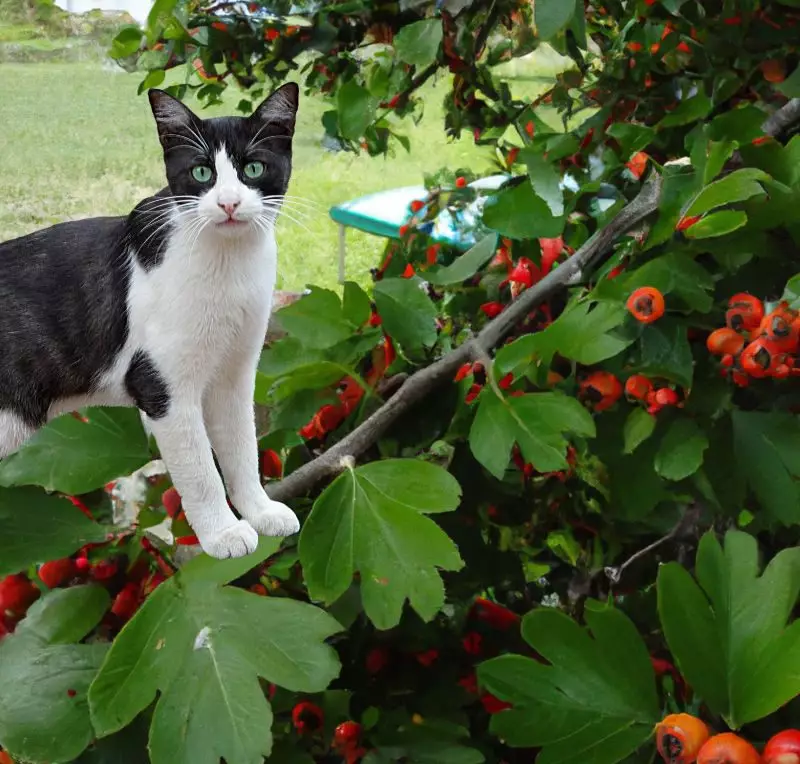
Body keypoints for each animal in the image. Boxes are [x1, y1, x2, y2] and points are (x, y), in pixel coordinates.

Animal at [0, 86, 300, 560]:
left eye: (253, 167)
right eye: (201, 172)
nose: (229, 203)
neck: (228, 266)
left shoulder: (234, 376)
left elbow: (242, 448)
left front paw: (260, 510)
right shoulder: (162, 386)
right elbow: (200, 470)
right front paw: (222, 534)